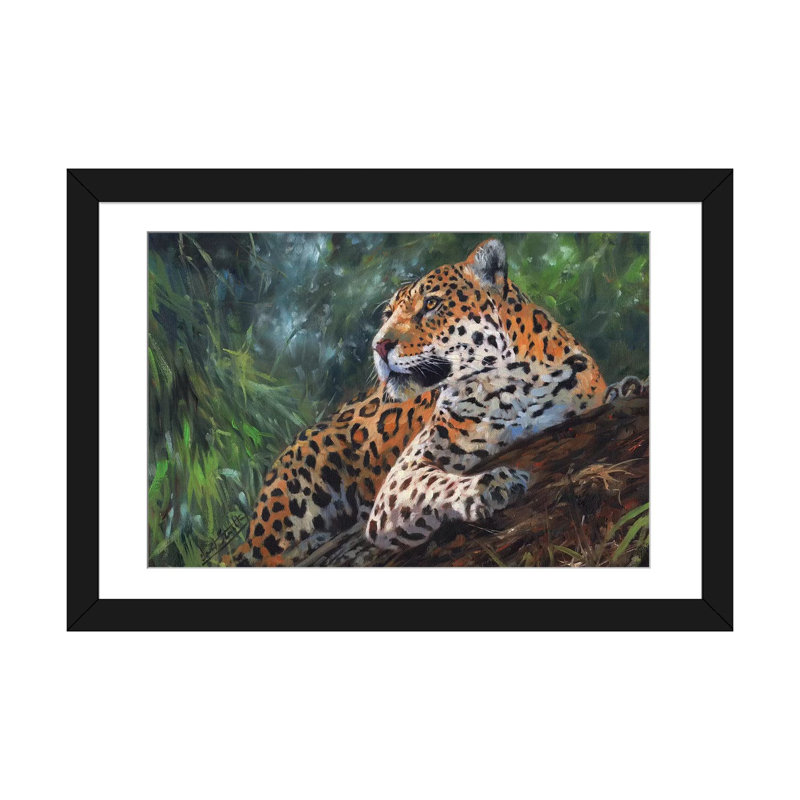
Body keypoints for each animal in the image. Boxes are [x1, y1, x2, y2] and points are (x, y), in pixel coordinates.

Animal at [232, 238, 609, 565]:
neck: (511, 387)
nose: (379, 345)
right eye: (387, 315)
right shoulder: (402, 476)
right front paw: (490, 485)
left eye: (430, 305)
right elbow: (433, 484)